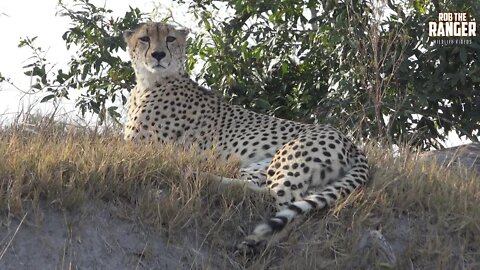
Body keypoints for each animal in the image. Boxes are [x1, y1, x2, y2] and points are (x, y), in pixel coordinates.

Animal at [122, 21, 370, 255]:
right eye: (144, 38)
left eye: (170, 39)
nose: (159, 55)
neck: (150, 81)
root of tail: (352, 144)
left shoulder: (139, 146)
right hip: (264, 167)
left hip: (289, 157)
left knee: (282, 201)